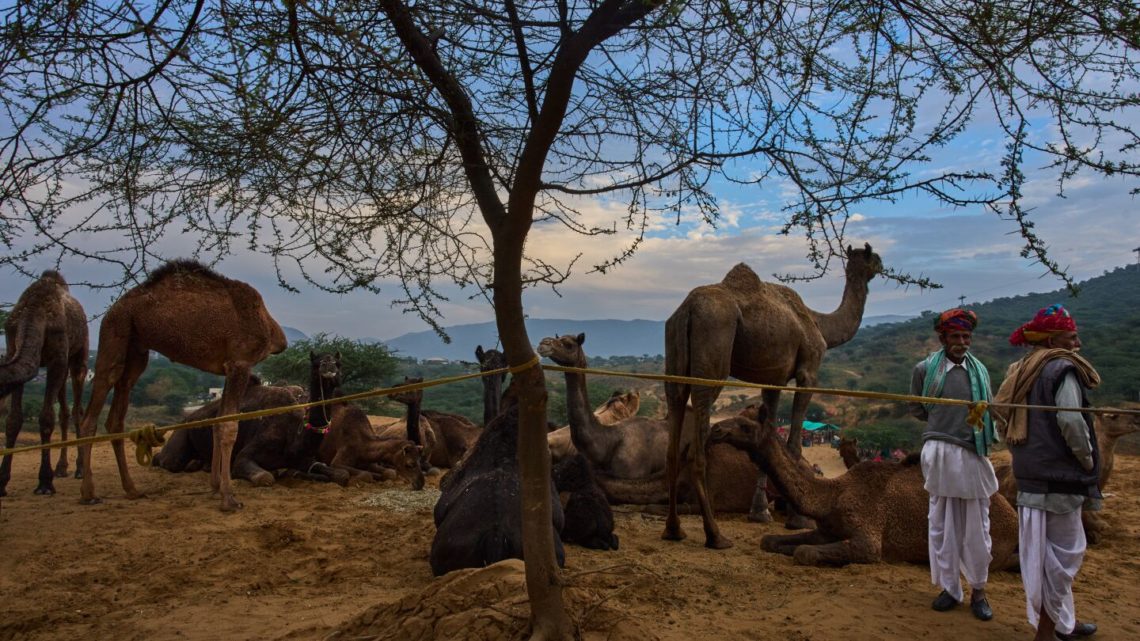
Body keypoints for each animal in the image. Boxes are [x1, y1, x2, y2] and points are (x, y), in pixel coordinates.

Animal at [0, 271, 89, 496]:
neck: (35, 313)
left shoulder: (57, 360)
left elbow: (46, 418)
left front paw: (45, 483)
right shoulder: (13, 348)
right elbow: (13, 420)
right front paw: (2, 482)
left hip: (78, 356)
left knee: (77, 409)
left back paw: (80, 469)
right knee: (64, 412)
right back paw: (62, 468)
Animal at [77, 260, 287, 511]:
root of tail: (115, 308)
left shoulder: (228, 367)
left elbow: (218, 422)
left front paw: (215, 486)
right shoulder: (240, 362)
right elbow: (229, 426)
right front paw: (228, 497)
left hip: (136, 349)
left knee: (116, 414)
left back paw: (132, 490)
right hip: (114, 332)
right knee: (92, 412)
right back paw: (89, 493)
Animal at [663, 243, 882, 548]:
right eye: (872, 258)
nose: (881, 266)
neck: (819, 324)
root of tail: (688, 309)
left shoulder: (772, 379)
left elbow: (767, 433)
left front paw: (759, 512)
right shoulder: (809, 371)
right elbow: (793, 444)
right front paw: (797, 519)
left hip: (673, 353)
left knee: (673, 432)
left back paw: (673, 529)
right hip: (713, 352)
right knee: (697, 445)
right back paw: (715, 535)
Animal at [711, 413, 1019, 569]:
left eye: (745, 425)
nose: (715, 430)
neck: (832, 496)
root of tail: (1013, 517)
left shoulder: (868, 538)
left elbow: (805, 552)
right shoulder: (827, 530)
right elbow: (770, 541)